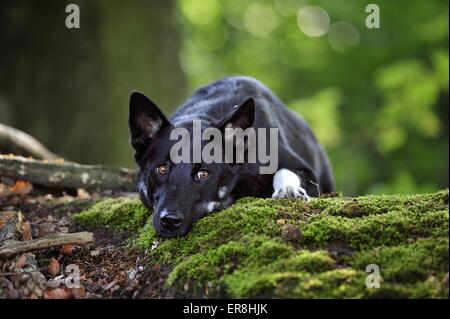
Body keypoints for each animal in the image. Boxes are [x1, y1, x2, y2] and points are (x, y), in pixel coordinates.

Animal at [128, 77, 332, 238]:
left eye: (203, 174)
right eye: (162, 169)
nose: (169, 221)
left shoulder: (305, 171)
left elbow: (284, 171)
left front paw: (288, 189)